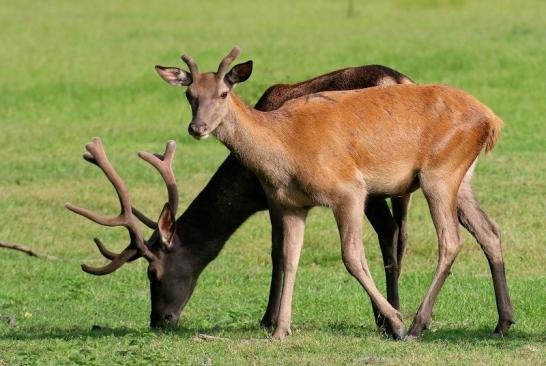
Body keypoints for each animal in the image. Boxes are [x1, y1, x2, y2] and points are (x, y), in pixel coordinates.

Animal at [153, 46, 510, 340]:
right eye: (190, 95)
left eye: (224, 93)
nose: (197, 128)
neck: (284, 147)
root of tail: (492, 120)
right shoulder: (292, 204)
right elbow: (289, 258)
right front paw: (281, 329)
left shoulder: (348, 190)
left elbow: (352, 257)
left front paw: (394, 321)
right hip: (461, 179)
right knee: (489, 230)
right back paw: (503, 322)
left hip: (439, 174)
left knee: (448, 241)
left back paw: (416, 325)